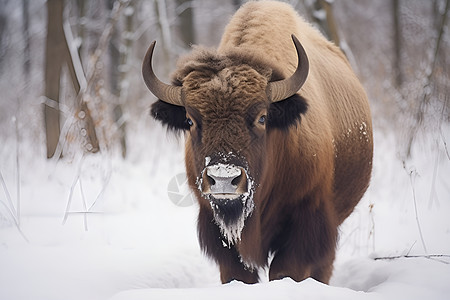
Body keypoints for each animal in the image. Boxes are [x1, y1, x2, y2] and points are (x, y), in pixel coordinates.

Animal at [143, 1, 372, 284]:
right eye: (190, 120)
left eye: (262, 117)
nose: (223, 179)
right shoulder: (219, 235)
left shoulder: (305, 223)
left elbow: (285, 270)